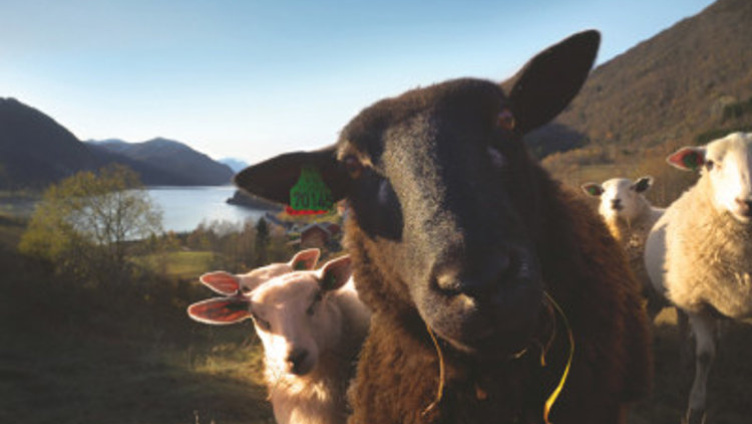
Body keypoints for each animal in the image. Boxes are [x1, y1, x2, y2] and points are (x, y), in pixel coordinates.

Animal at [644, 131, 752, 424]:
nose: (746, 202)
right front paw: (695, 406)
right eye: (710, 164)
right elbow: (704, 355)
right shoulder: (697, 302)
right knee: (683, 327)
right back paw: (684, 360)